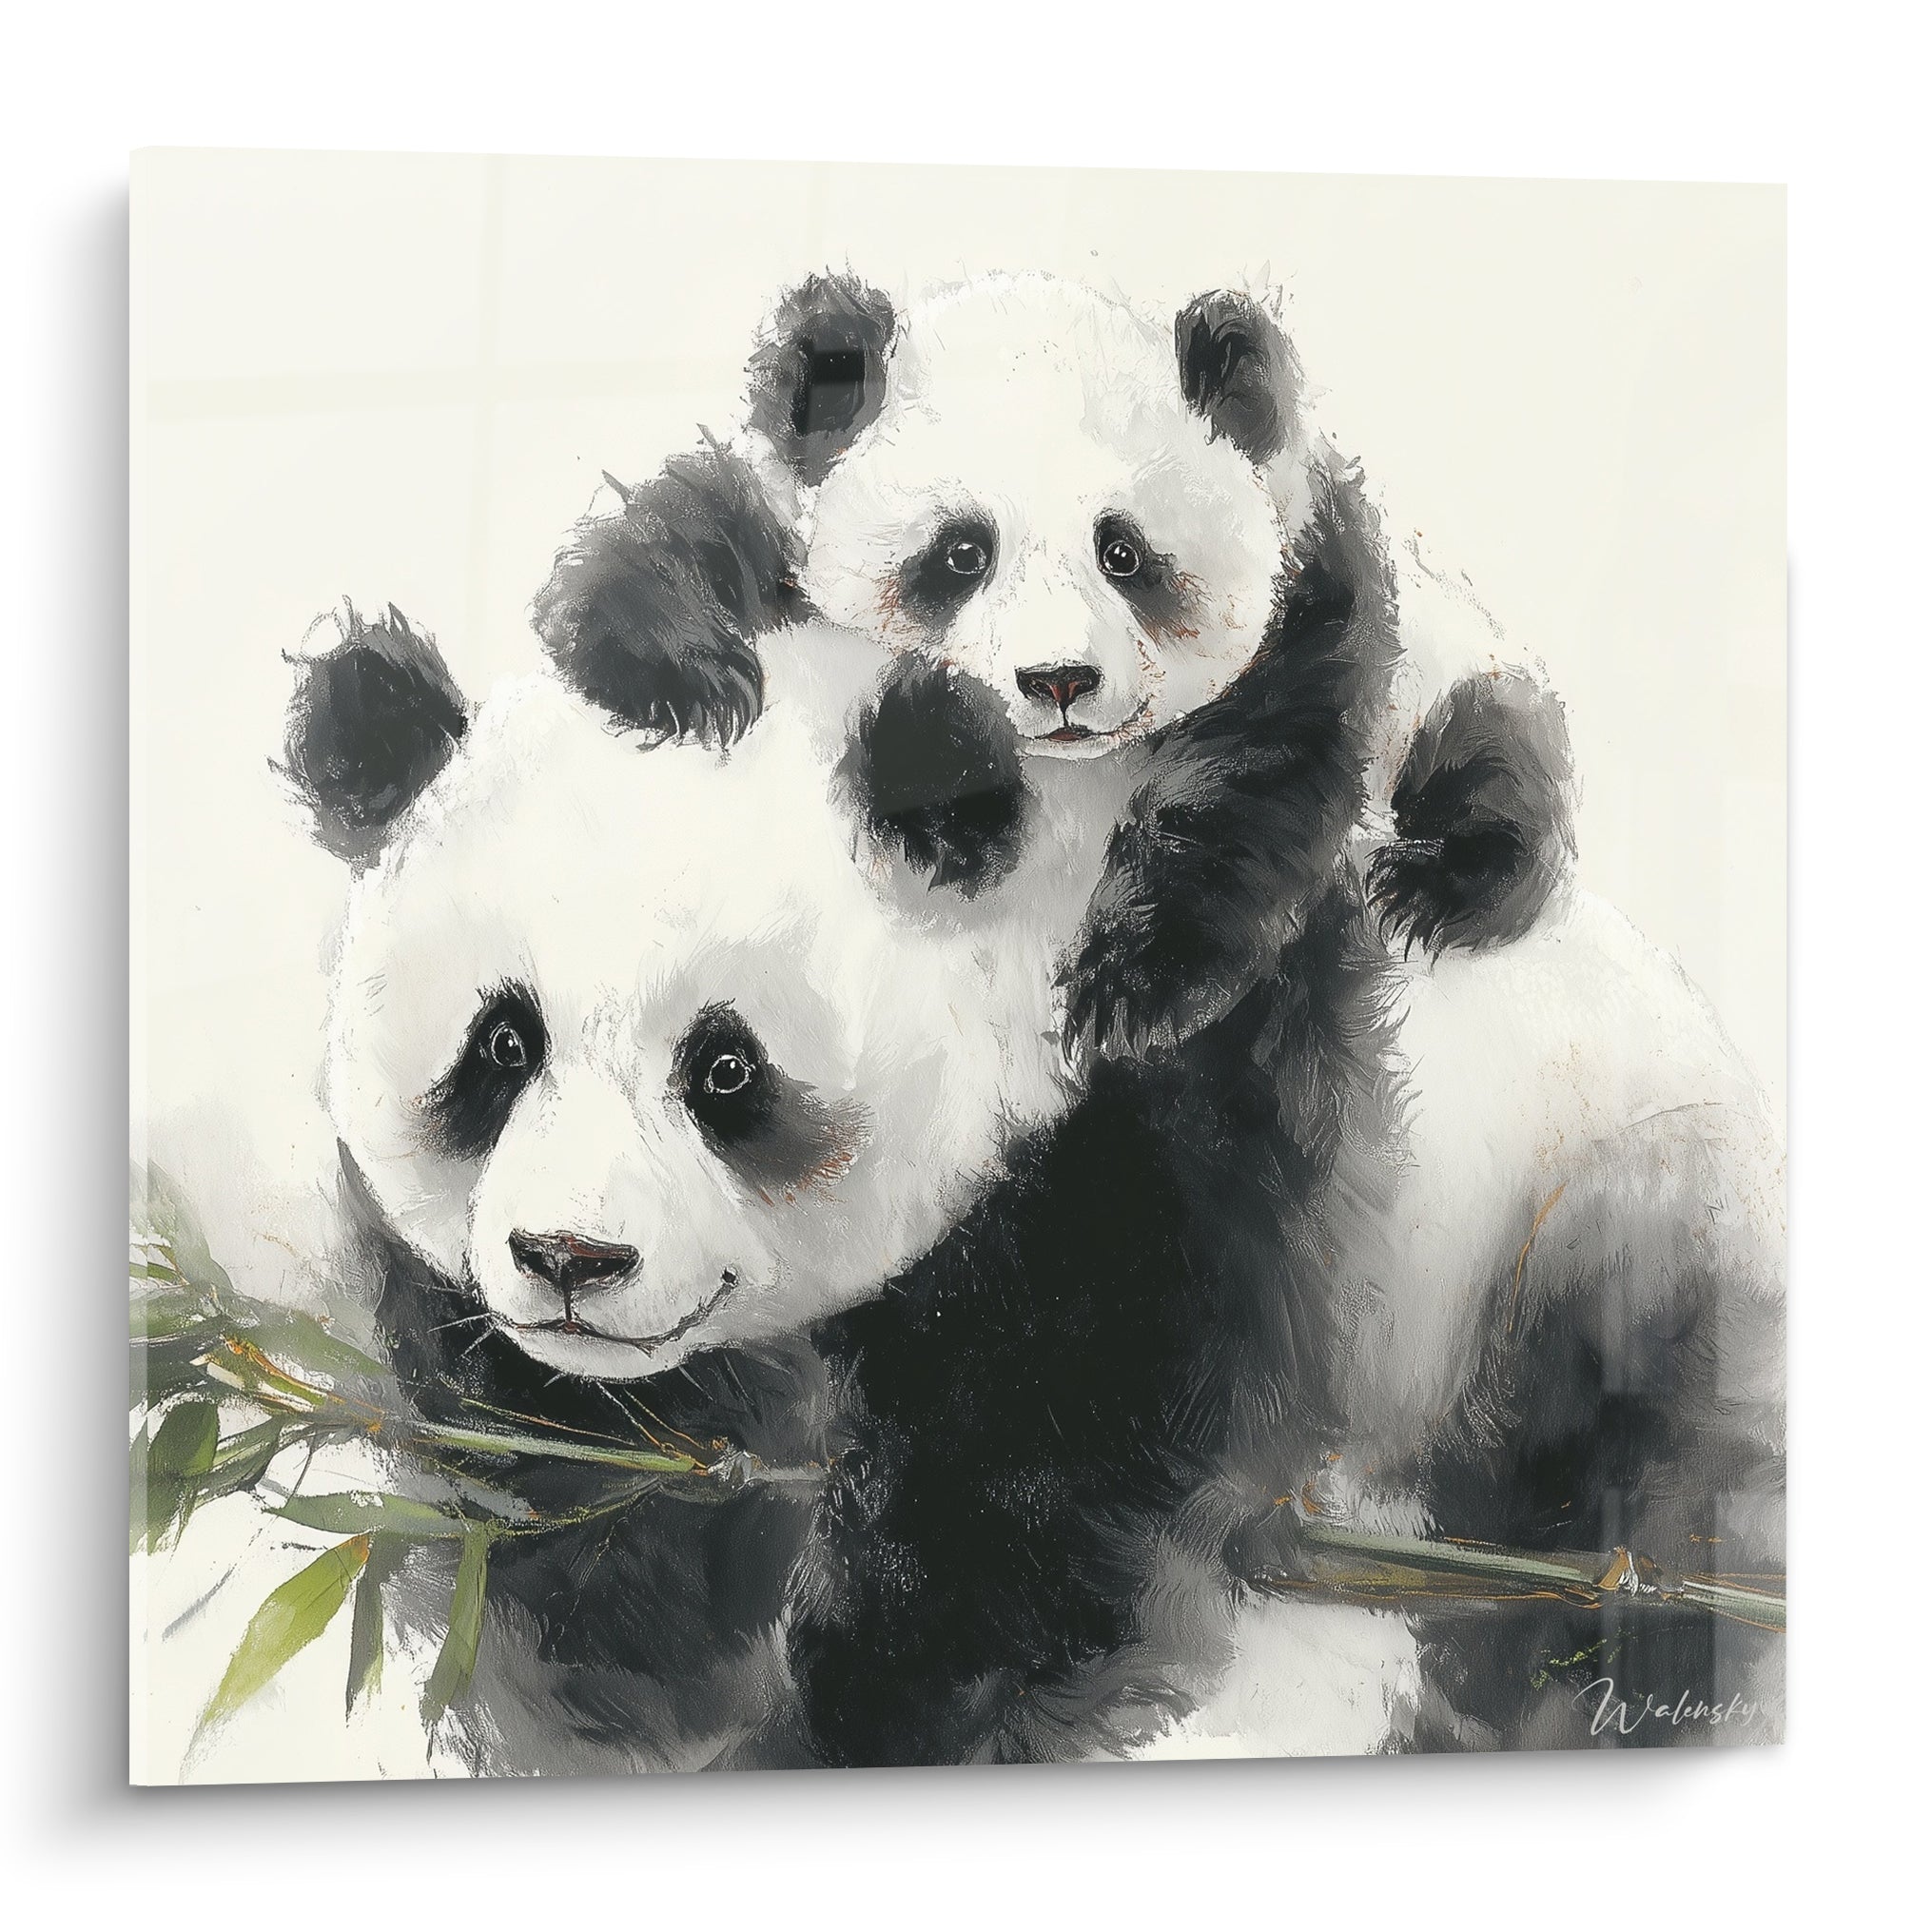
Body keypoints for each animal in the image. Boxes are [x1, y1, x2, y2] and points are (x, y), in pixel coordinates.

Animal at [533, 271, 1576, 1065]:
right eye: (962, 552)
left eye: (1123, 552)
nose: (1059, 681)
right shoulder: (785, 504)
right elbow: (685, 522)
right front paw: (692, 680)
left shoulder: (1318, 601)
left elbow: (1249, 781)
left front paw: (1128, 991)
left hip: (1452, 671)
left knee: (1490, 757)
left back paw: (1436, 886)